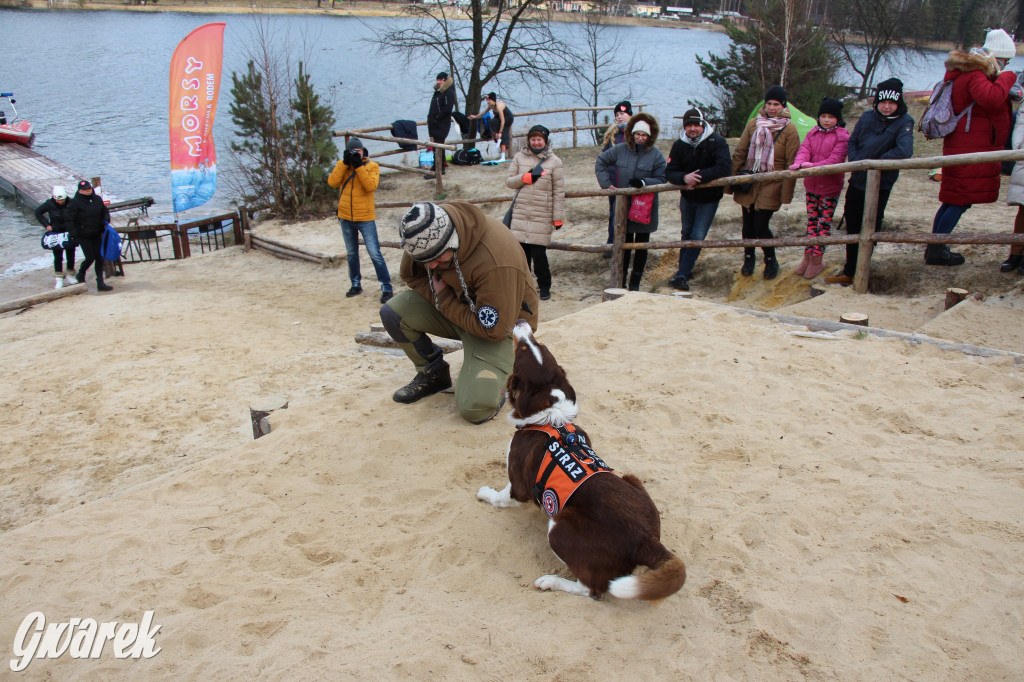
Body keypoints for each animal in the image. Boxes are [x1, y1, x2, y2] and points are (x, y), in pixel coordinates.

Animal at [473, 319, 684, 602]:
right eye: (538, 344)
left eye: (522, 352)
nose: (521, 322)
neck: (550, 417)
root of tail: (645, 539)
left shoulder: (518, 485)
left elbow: (500, 497)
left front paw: (486, 493)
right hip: (632, 479)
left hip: (558, 528)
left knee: (592, 588)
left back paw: (550, 581)